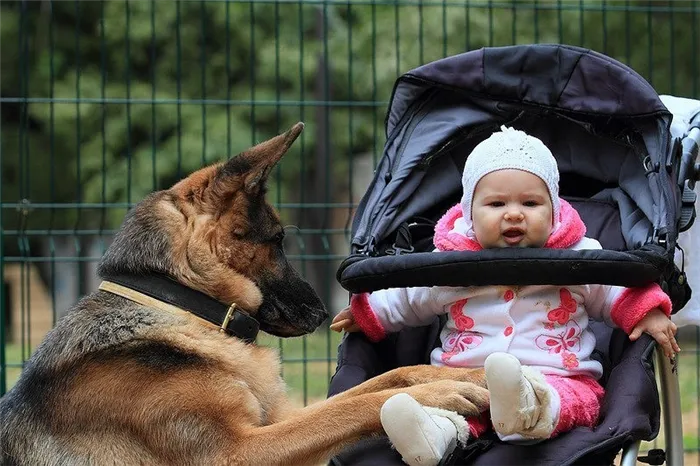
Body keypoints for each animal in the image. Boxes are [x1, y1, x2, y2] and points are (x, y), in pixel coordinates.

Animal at [0, 124, 486, 466]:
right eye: (278, 241)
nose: (325, 313)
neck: (183, 305)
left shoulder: (276, 419)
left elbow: (383, 380)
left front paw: (470, 375)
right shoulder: (238, 450)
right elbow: (353, 407)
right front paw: (442, 394)